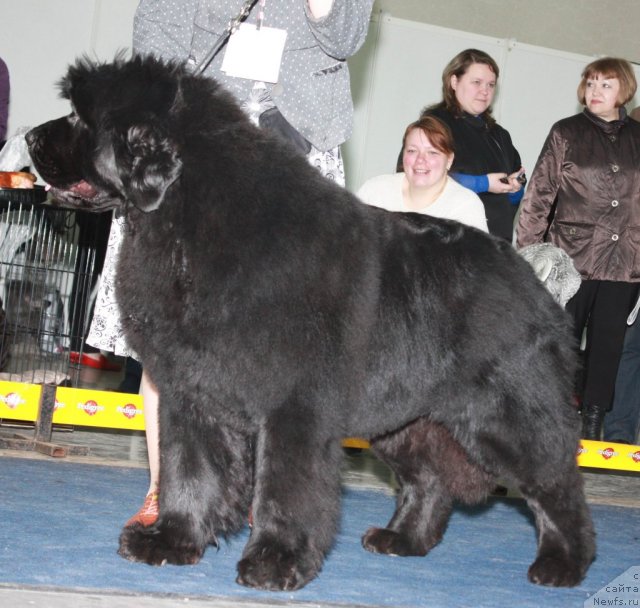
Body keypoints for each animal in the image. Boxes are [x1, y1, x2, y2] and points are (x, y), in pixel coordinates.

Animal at [25, 55, 596, 588]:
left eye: (79, 117)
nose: (30, 137)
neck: (188, 222)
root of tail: (530, 273)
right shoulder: (192, 391)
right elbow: (189, 470)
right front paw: (171, 540)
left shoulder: (296, 404)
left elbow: (286, 487)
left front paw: (275, 562)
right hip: (406, 420)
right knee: (430, 479)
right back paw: (402, 540)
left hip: (507, 413)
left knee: (557, 482)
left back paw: (563, 563)